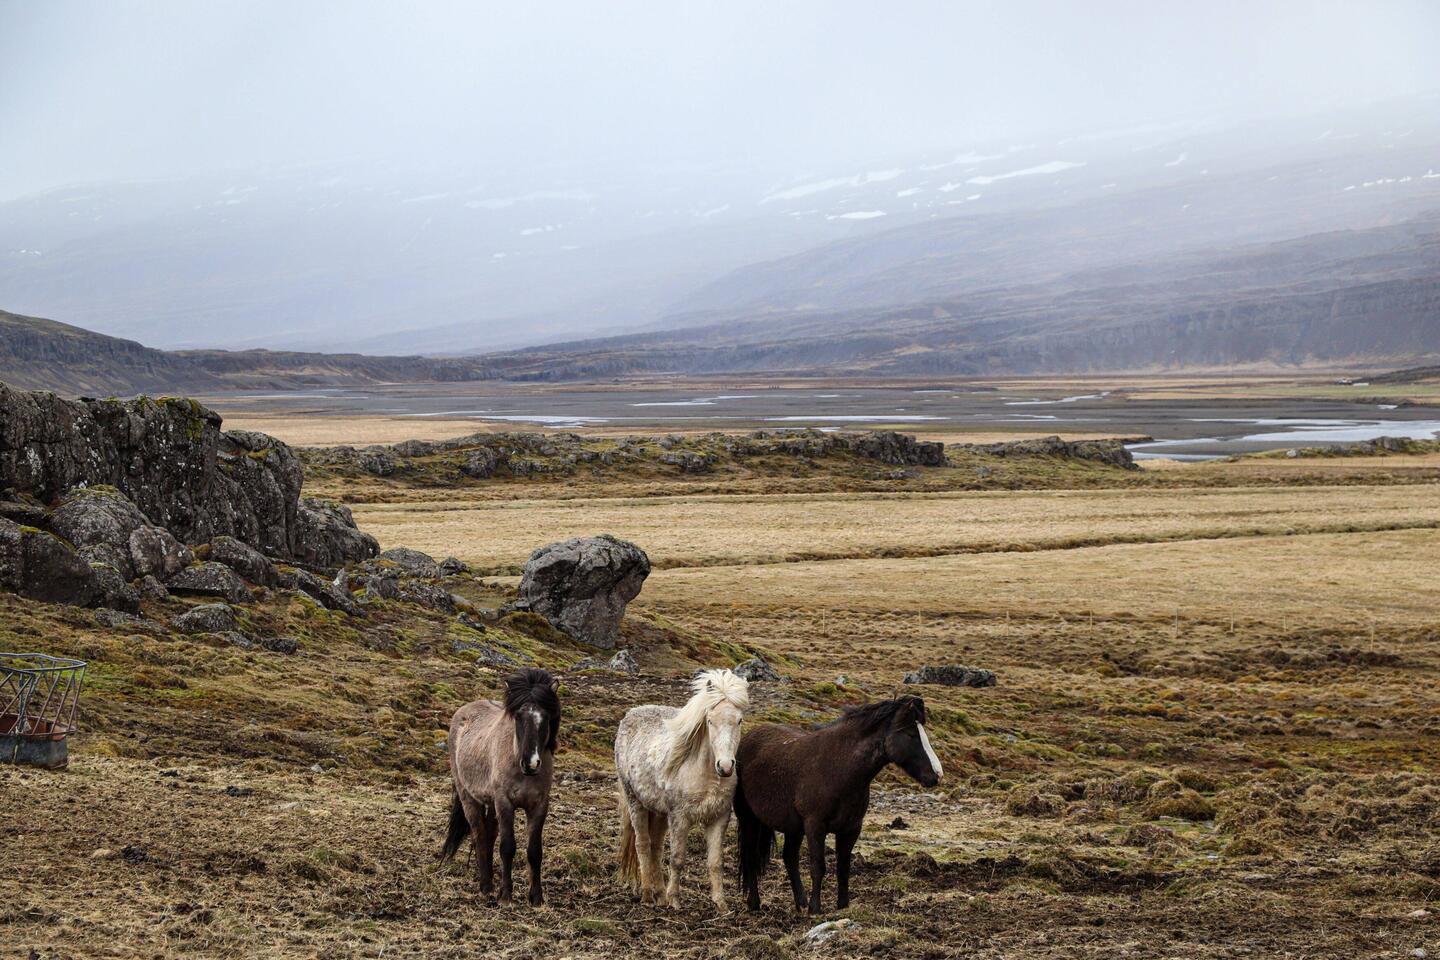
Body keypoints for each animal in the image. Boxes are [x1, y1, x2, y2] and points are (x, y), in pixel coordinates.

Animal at [440, 667, 561, 906]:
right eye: (518, 717)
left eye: (545, 717)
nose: (530, 763)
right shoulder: (505, 802)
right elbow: (507, 847)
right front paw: (506, 895)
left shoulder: (540, 805)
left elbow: (535, 851)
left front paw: (536, 897)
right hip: (469, 796)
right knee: (479, 834)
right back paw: (486, 885)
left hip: (490, 802)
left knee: (488, 834)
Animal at [614, 669, 749, 911]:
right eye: (710, 720)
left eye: (739, 720)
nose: (725, 766)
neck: (706, 775)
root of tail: (630, 714)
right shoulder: (680, 817)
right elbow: (677, 859)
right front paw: (675, 901)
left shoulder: (719, 817)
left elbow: (715, 862)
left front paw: (721, 904)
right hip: (635, 802)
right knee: (643, 845)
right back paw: (648, 895)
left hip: (658, 812)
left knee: (656, 847)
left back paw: (659, 895)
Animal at [733, 695, 942, 915]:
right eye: (911, 734)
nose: (937, 774)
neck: (838, 768)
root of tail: (747, 739)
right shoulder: (815, 826)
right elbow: (818, 866)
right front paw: (816, 909)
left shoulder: (851, 829)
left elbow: (843, 867)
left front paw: (842, 905)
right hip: (749, 819)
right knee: (750, 858)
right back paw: (755, 903)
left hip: (793, 827)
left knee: (789, 858)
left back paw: (801, 903)